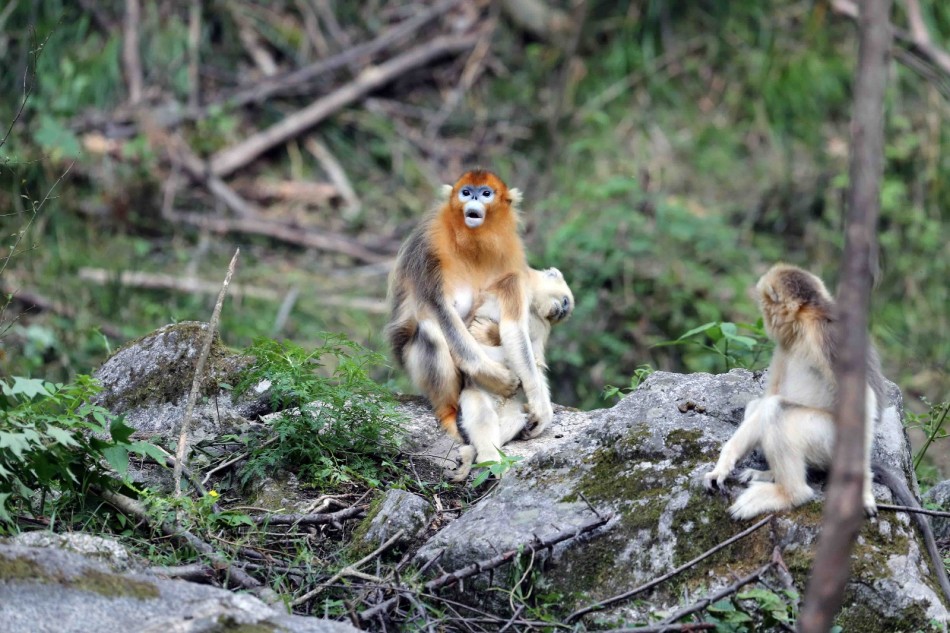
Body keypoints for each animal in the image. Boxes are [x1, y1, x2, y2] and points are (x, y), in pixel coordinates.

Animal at [384, 170, 556, 442]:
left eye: (485, 193)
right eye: (466, 192)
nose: (473, 198)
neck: (473, 243)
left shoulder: (511, 260)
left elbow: (514, 328)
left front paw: (541, 408)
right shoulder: (428, 247)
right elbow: (442, 312)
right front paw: (498, 379)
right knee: (431, 331)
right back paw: (449, 413)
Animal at [452, 264, 576, 482]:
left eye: (561, 314)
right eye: (564, 302)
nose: (560, 310)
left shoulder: (542, 323)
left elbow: (536, 361)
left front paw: (543, 417)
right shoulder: (515, 286)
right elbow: (515, 333)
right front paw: (542, 412)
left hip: (510, 406)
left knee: (515, 420)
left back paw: (472, 454)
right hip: (475, 392)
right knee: (484, 416)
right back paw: (488, 458)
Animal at [704, 262, 880, 520]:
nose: (766, 317)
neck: (803, 324)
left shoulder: (827, 334)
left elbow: (864, 400)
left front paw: (864, 494)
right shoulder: (786, 342)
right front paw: (722, 467)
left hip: (830, 441)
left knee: (777, 409)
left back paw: (790, 494)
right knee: (762, 406)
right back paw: (770, 476)